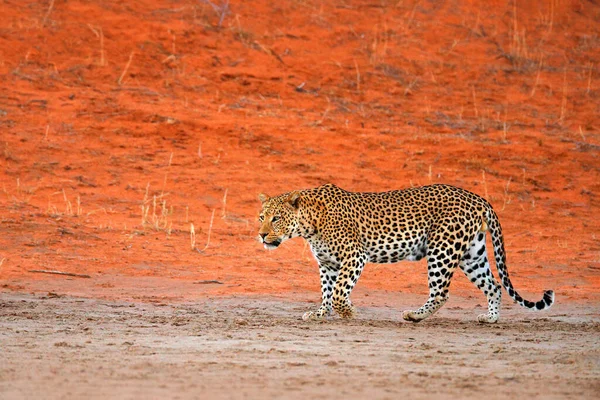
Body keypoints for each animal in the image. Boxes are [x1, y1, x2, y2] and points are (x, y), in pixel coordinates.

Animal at [255, 183, 556, 324]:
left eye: (276, 218)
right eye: (261, 217)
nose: (261, 235)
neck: (310, 224)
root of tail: (479, 198)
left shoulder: (355, 256)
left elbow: (340, 292)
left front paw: (350, 312)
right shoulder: (328, 264)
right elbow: (327, 292)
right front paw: (320, 314)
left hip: (442, 249)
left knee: (441, 292)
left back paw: (415, 315)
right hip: (472, 254)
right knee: (493, 285)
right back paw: (490, 318)